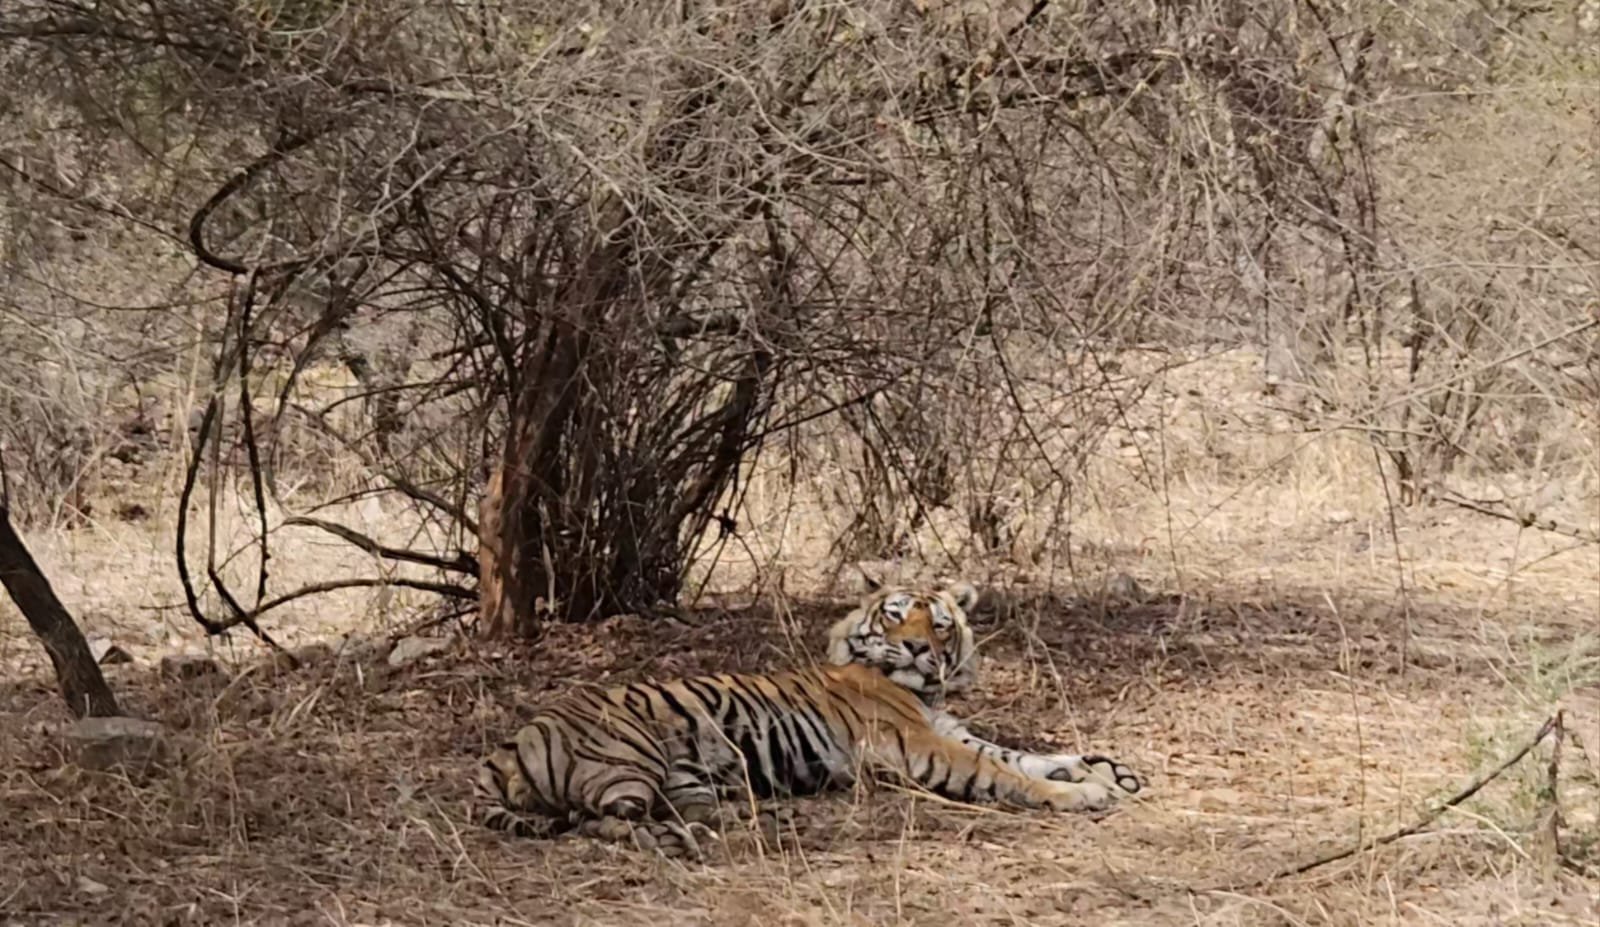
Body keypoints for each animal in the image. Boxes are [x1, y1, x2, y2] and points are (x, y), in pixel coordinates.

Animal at [474, 580, 1143, 859]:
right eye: (895, 615)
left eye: (940, 623)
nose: (918, 649)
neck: (924, 693)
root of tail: (508, 741)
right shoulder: (920, 746)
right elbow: (1005, 773)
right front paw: (1083, 793)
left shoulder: (948, 731)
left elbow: (1022, 753)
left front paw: (1105, 770)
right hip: (628, 758)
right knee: (600, 823)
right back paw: (678, 842)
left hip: (682, 778)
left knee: (687, 812)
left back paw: (759, 822)